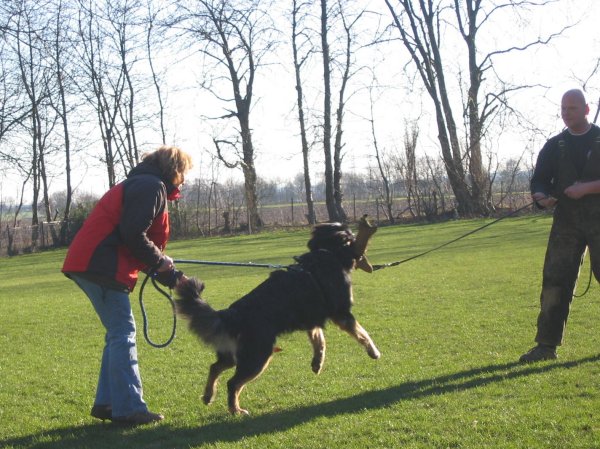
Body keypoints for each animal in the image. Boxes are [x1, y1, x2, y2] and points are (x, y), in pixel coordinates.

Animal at [173, 219, 380, 414]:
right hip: (258, 357)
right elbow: (362, 333)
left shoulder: (312, 319)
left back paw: (209, 396)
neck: (328, 252)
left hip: (233, 355)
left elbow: (319, 340)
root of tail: (231, 314)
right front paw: (374, 352)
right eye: (350, 235)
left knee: (214, 367)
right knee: (232, 383)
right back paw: (235, 410)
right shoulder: (342, 313)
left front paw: (317, 363)